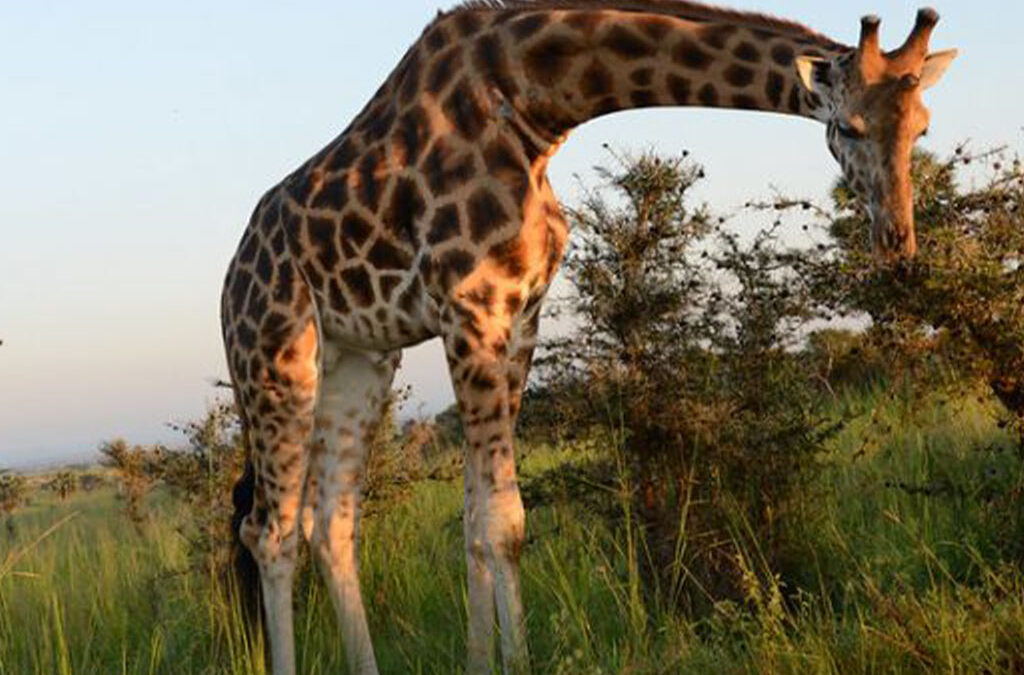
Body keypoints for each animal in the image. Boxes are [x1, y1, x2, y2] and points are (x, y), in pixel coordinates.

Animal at [220, 2, 957, 673]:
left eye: (922, 127)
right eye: (848, 126)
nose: (897, 244)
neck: (535, 106)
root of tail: (231, 280)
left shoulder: (520, 317)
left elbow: (479, 521)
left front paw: (484, 662)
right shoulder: (469, 309)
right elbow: (503, 522)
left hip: (360, 361)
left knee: (331, 525)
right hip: (277, 356)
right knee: (269, 531)